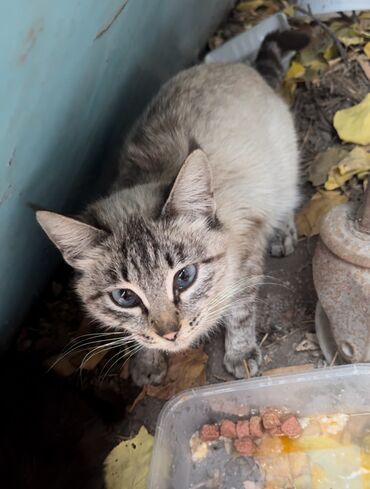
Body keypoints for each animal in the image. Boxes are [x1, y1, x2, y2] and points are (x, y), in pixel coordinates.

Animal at [36, 33, 306, 386]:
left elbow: (241, 307)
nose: (170, 334)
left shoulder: (249, 244)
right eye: (125, 298)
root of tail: (236, 66)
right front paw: (147, 363)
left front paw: (240, 354)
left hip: (283, 169)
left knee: (288, 198)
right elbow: (137, 337)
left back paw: (283, 233)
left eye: (184, 278)